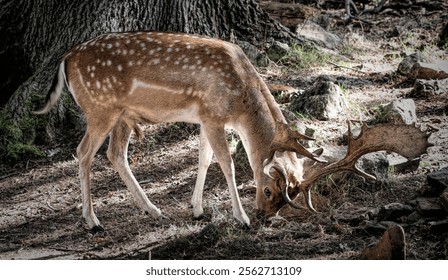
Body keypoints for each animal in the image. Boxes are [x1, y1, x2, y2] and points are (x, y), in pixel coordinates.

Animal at [33, 31, 428, 232]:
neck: (241, 99)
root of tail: (65, 59)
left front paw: (196, 210)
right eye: (269, 189)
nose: (265, 216)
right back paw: (93, 221)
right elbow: (227, 163)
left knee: (115, 154)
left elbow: (204, 159)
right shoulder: (211, 114)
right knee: (84, 153)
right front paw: (240, 216)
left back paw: (154, 210)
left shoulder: (206, 118)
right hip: (101, 107)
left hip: (122, 115)